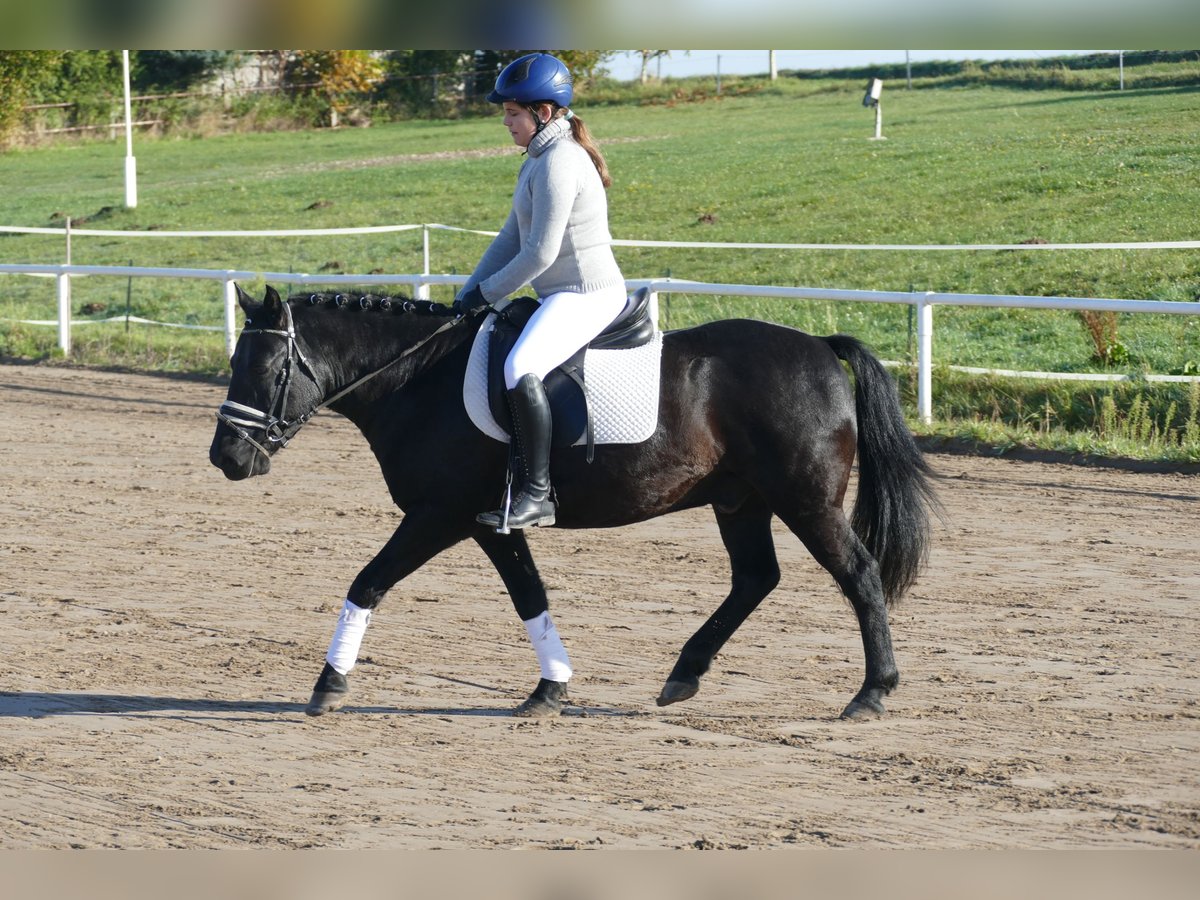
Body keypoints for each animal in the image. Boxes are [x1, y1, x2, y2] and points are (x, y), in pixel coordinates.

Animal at [208, 285, 936, 724]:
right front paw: (550, 687)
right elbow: (530, 595)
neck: (420, 379)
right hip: (741, 501)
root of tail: (819, 347)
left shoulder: (438, 515)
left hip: (805, 500)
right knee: (756, 578)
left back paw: (872, 692)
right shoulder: (491, 524)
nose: (227, 459)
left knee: (858, 575)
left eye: (268, 369)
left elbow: (369, 581)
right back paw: (683, 675)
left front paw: (328, 684)